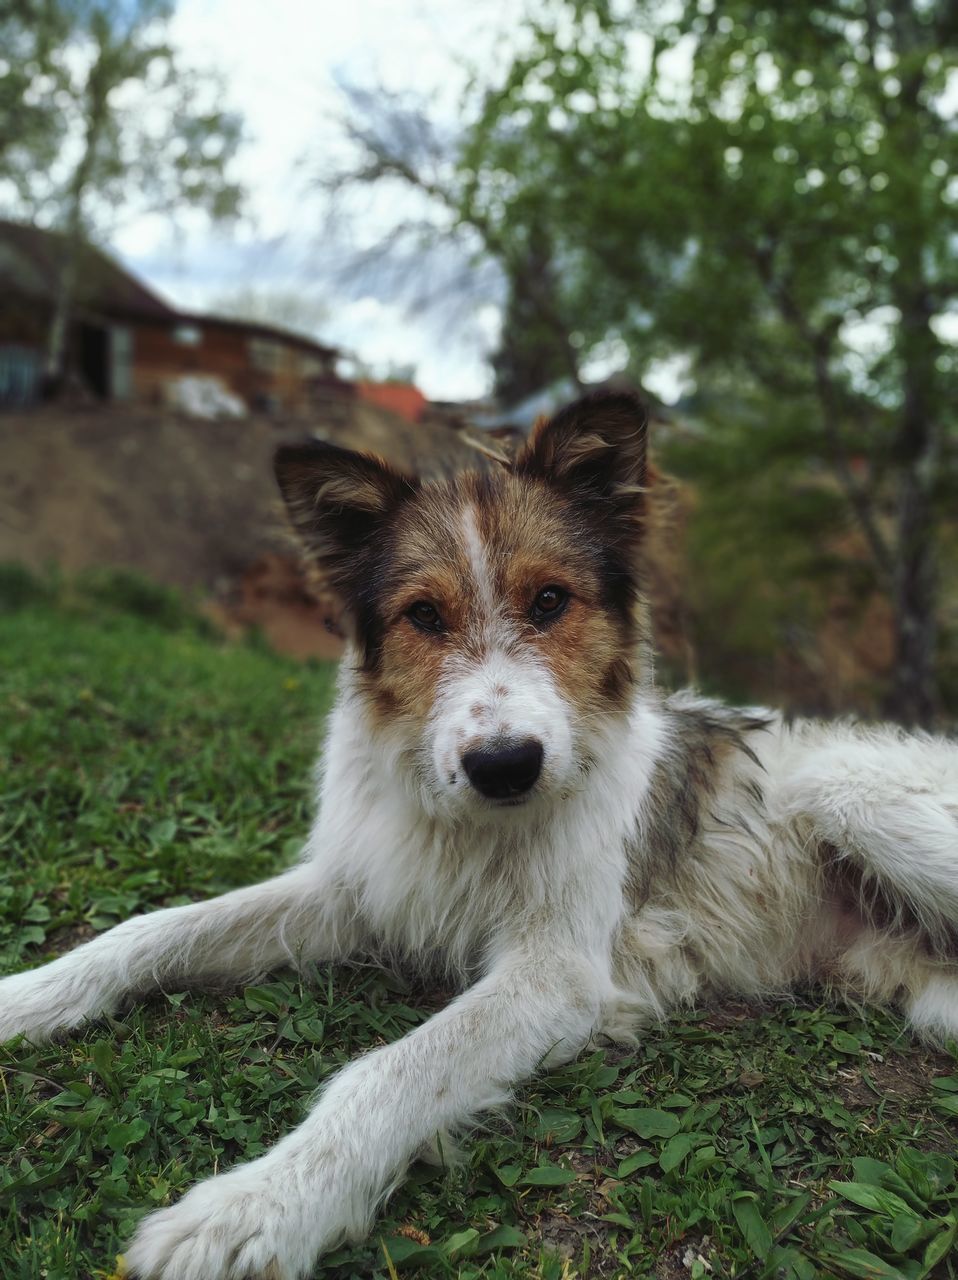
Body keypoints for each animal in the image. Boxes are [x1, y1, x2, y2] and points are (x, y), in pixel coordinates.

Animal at [1, 391, 957, 1280]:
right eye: (424, 616)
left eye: (550, 600)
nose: (506, 765)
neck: (470, 826)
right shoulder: (356, 892)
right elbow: (152, 928)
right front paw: (31, 996)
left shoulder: (559, 973)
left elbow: (392, 1069)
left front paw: (259, 1206)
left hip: (845, 792)